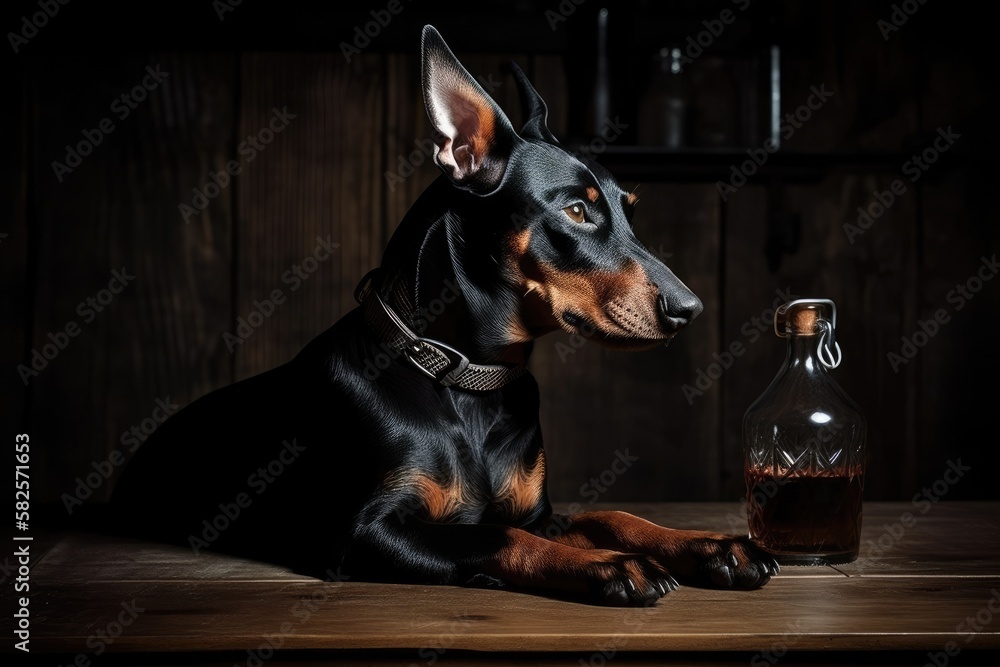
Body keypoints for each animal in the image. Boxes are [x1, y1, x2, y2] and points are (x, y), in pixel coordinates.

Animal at [111, 24, 780, 604]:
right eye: (577, 212)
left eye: (630, 211)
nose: (689, 308)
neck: (467, 379)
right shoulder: (365, 533)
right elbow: (493, 533)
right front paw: (610, 565)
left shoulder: (542, 512)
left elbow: (608, 513)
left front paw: (708, 545)